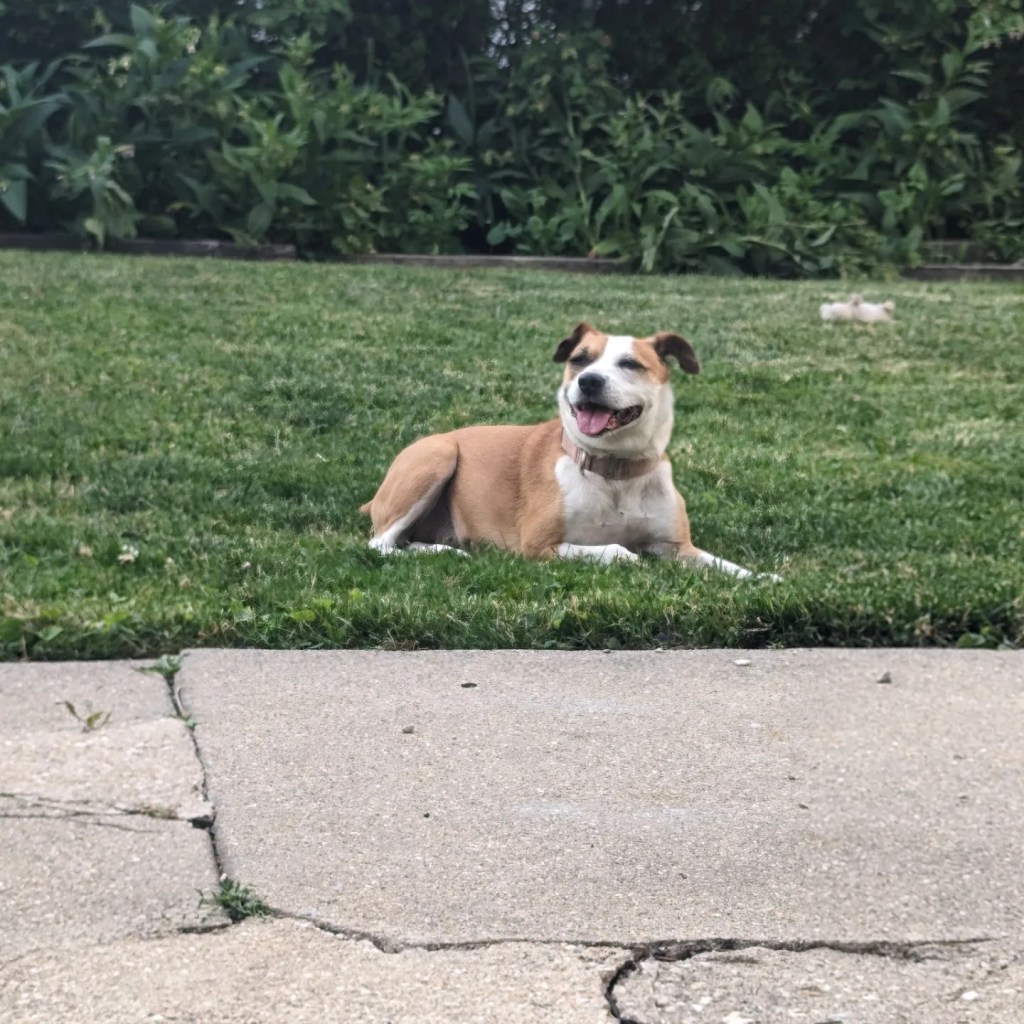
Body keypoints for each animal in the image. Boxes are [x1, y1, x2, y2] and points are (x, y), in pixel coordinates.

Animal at [360, 322, 770, 578]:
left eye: (630, 364)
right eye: (579, 359)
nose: (589, 381)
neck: (615, 471)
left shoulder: (679, 547)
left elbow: (723, 565)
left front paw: (764, 579)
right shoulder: (539, 546)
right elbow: (614, 549)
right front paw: (628, 557)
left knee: (406, 542)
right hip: (438, 456)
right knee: (380, 543)